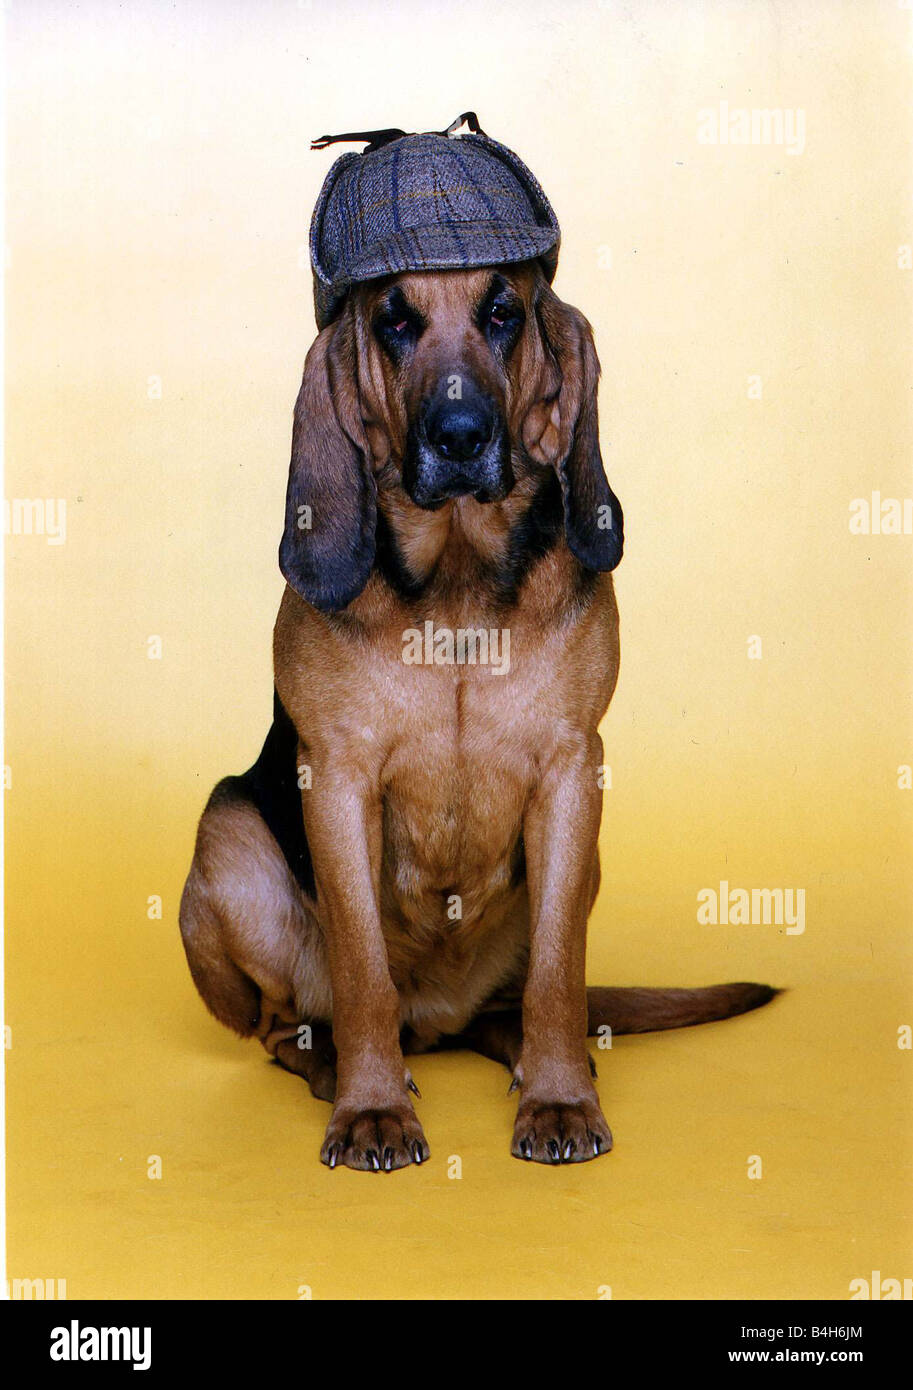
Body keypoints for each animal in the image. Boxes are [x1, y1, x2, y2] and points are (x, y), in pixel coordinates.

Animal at [179, 262, 778, 1173]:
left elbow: (558, 973)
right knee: (287, 1027)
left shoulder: (570, 777)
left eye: (503, 312)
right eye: (392, 321)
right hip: (227, 841)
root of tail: (438, 1018)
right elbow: (361, 966)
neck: (456, 573)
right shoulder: (336, 781)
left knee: (514, 1004)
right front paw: (371, 1108)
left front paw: (559, 1097)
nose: (459, 436)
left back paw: (535, 1056)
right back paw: (335, 1064)